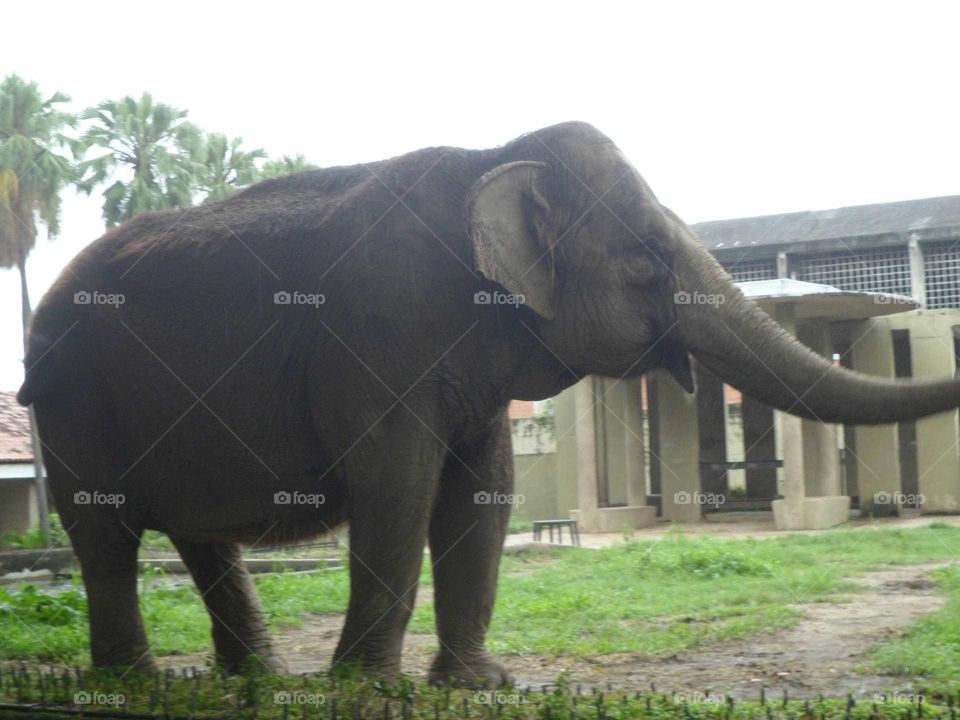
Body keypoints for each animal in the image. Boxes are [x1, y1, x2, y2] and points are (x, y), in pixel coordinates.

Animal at [18, 121, 960, 687]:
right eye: (649, 254)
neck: (493, 153)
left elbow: (484, 493)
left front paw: (478, 685)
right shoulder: (378, 333)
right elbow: (399, 488)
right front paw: (371, 688)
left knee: (199, 539)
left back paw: (255, 680)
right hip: (67, 399)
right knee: (106, 536)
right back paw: (133, 681)